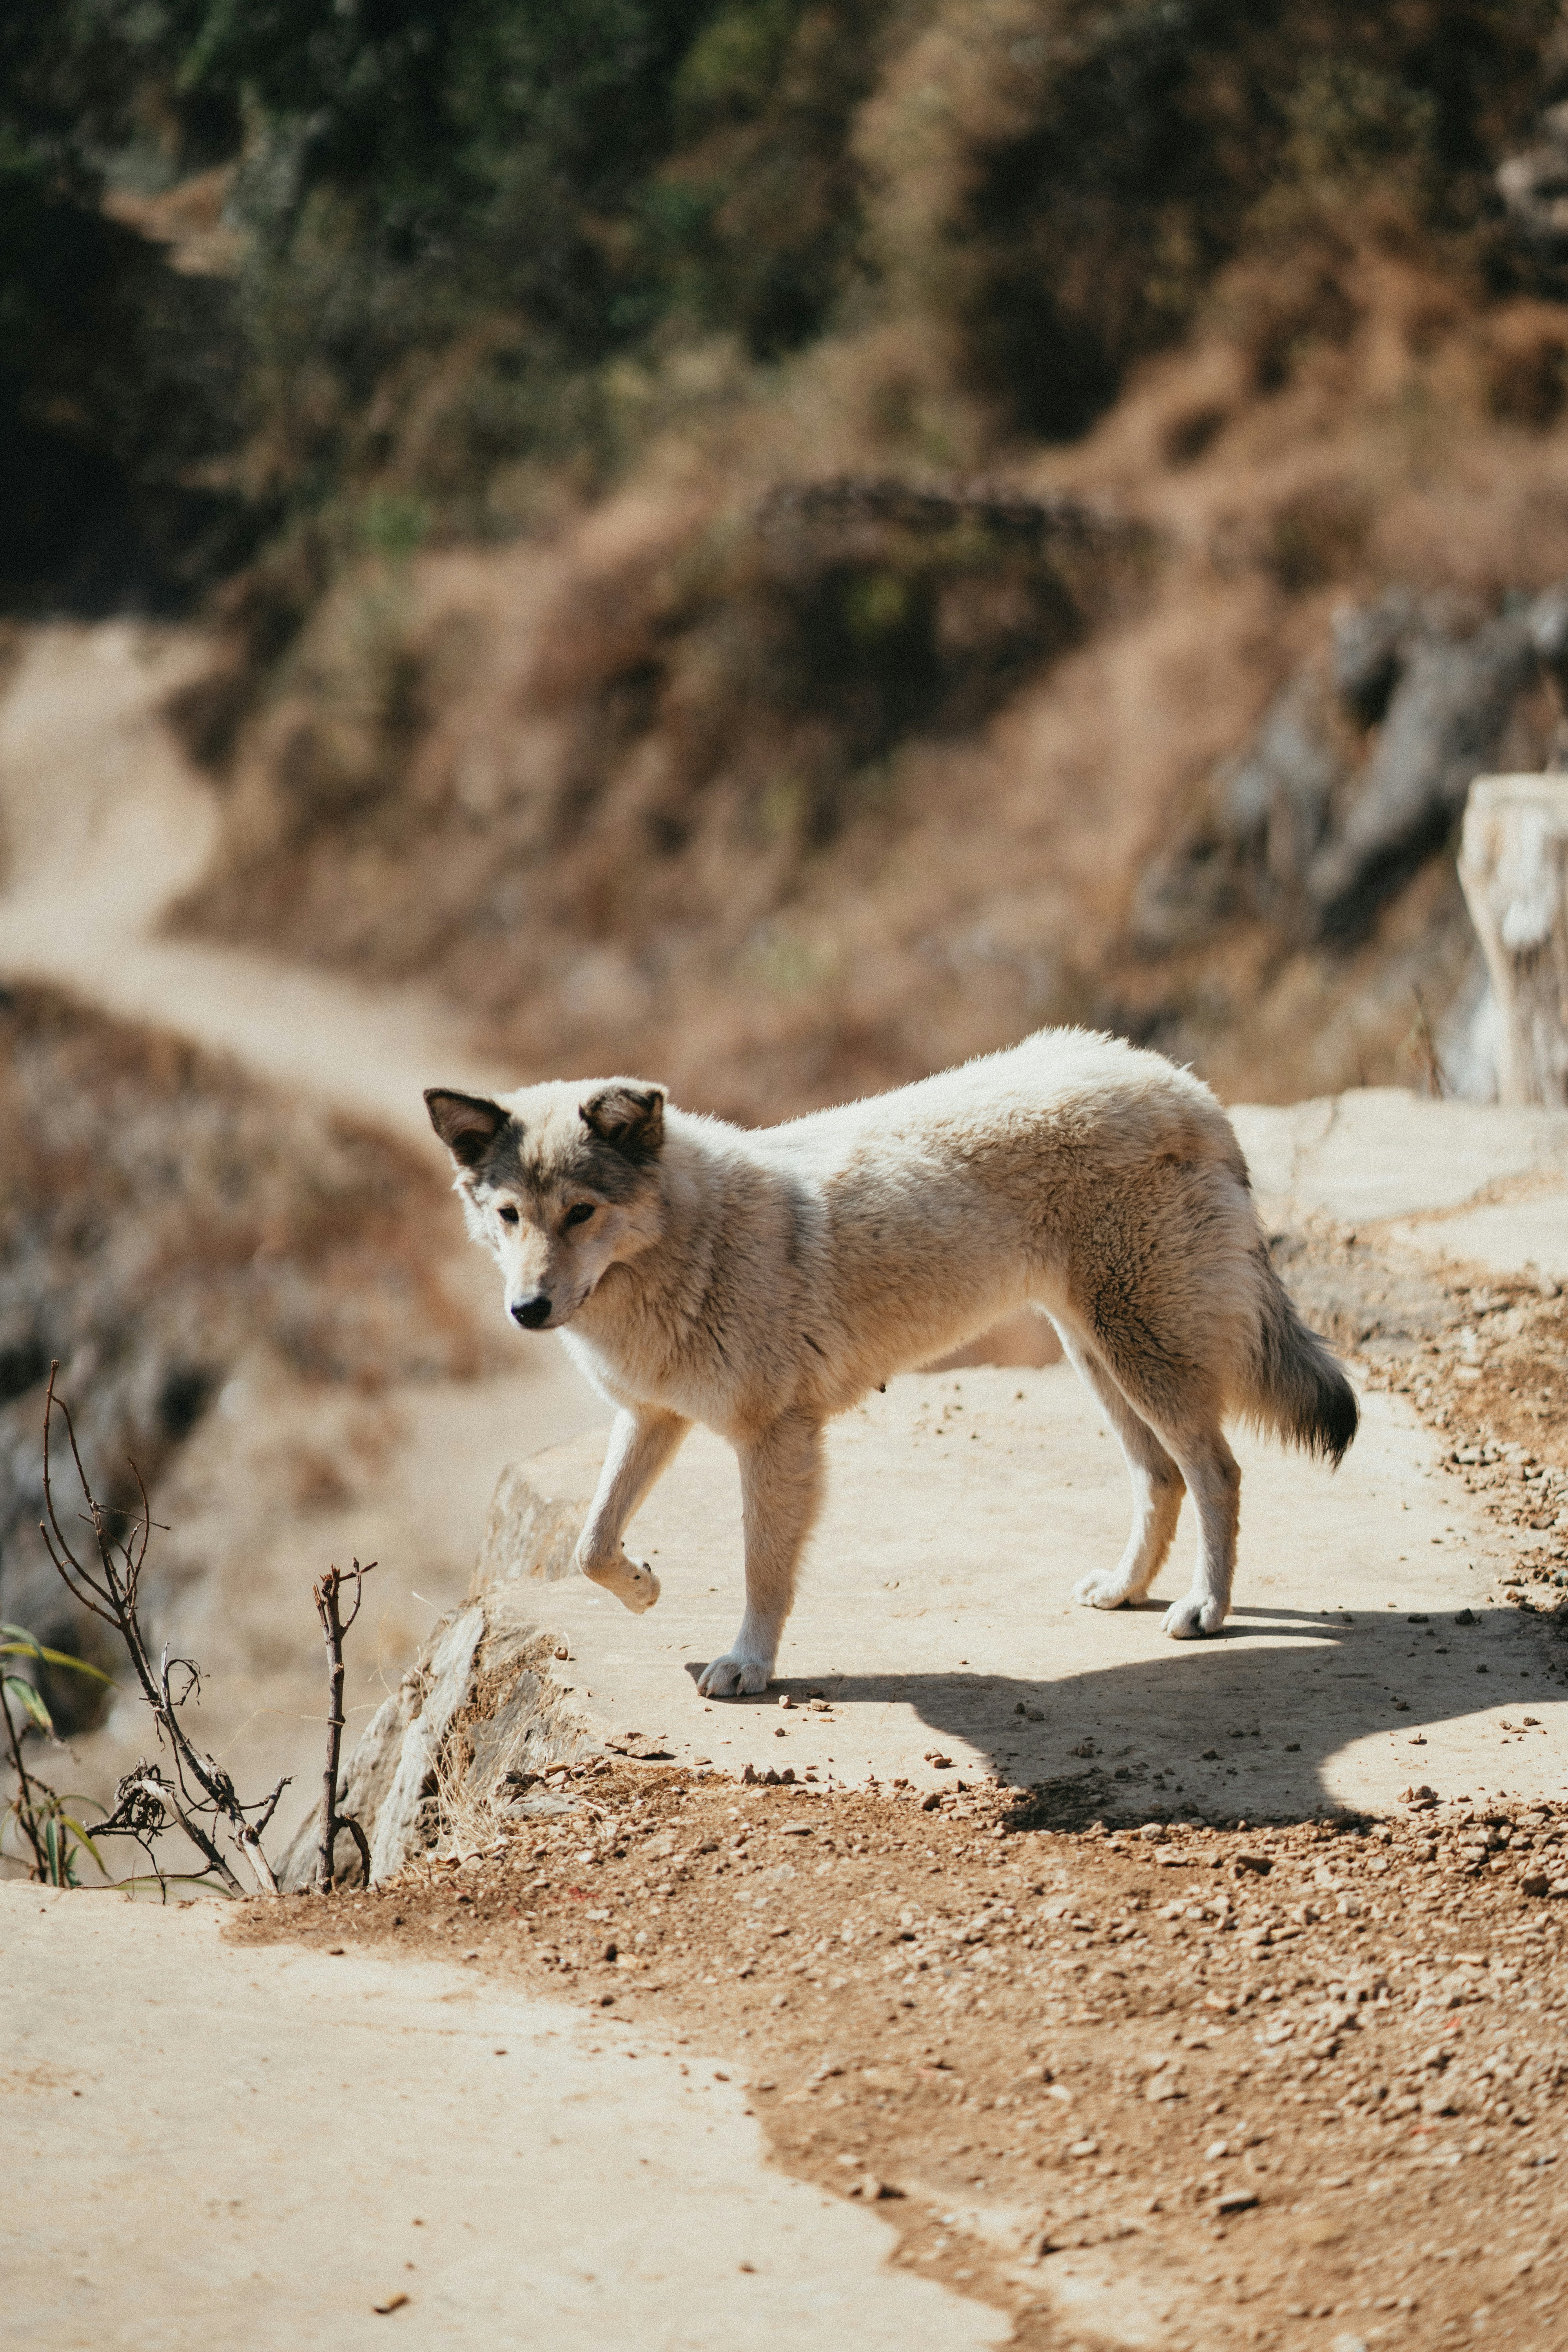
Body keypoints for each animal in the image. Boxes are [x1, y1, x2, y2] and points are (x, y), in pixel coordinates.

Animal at [425, 1028, 1356, 1697]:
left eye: (580, 1213)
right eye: (510, 1215)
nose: (527, 1310)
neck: (690, 1245)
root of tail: (1186, 1085)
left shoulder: (775, 1440)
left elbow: (763, 1569)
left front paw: (749, 1666)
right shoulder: (653, 1417)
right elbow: (590, 1544)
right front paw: (644, 1587)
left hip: (1140, 1354)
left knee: (1217, 1472)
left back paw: (1207, 1609)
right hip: (1100, 1356)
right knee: (1160, 1476)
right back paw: (1127, 1589)